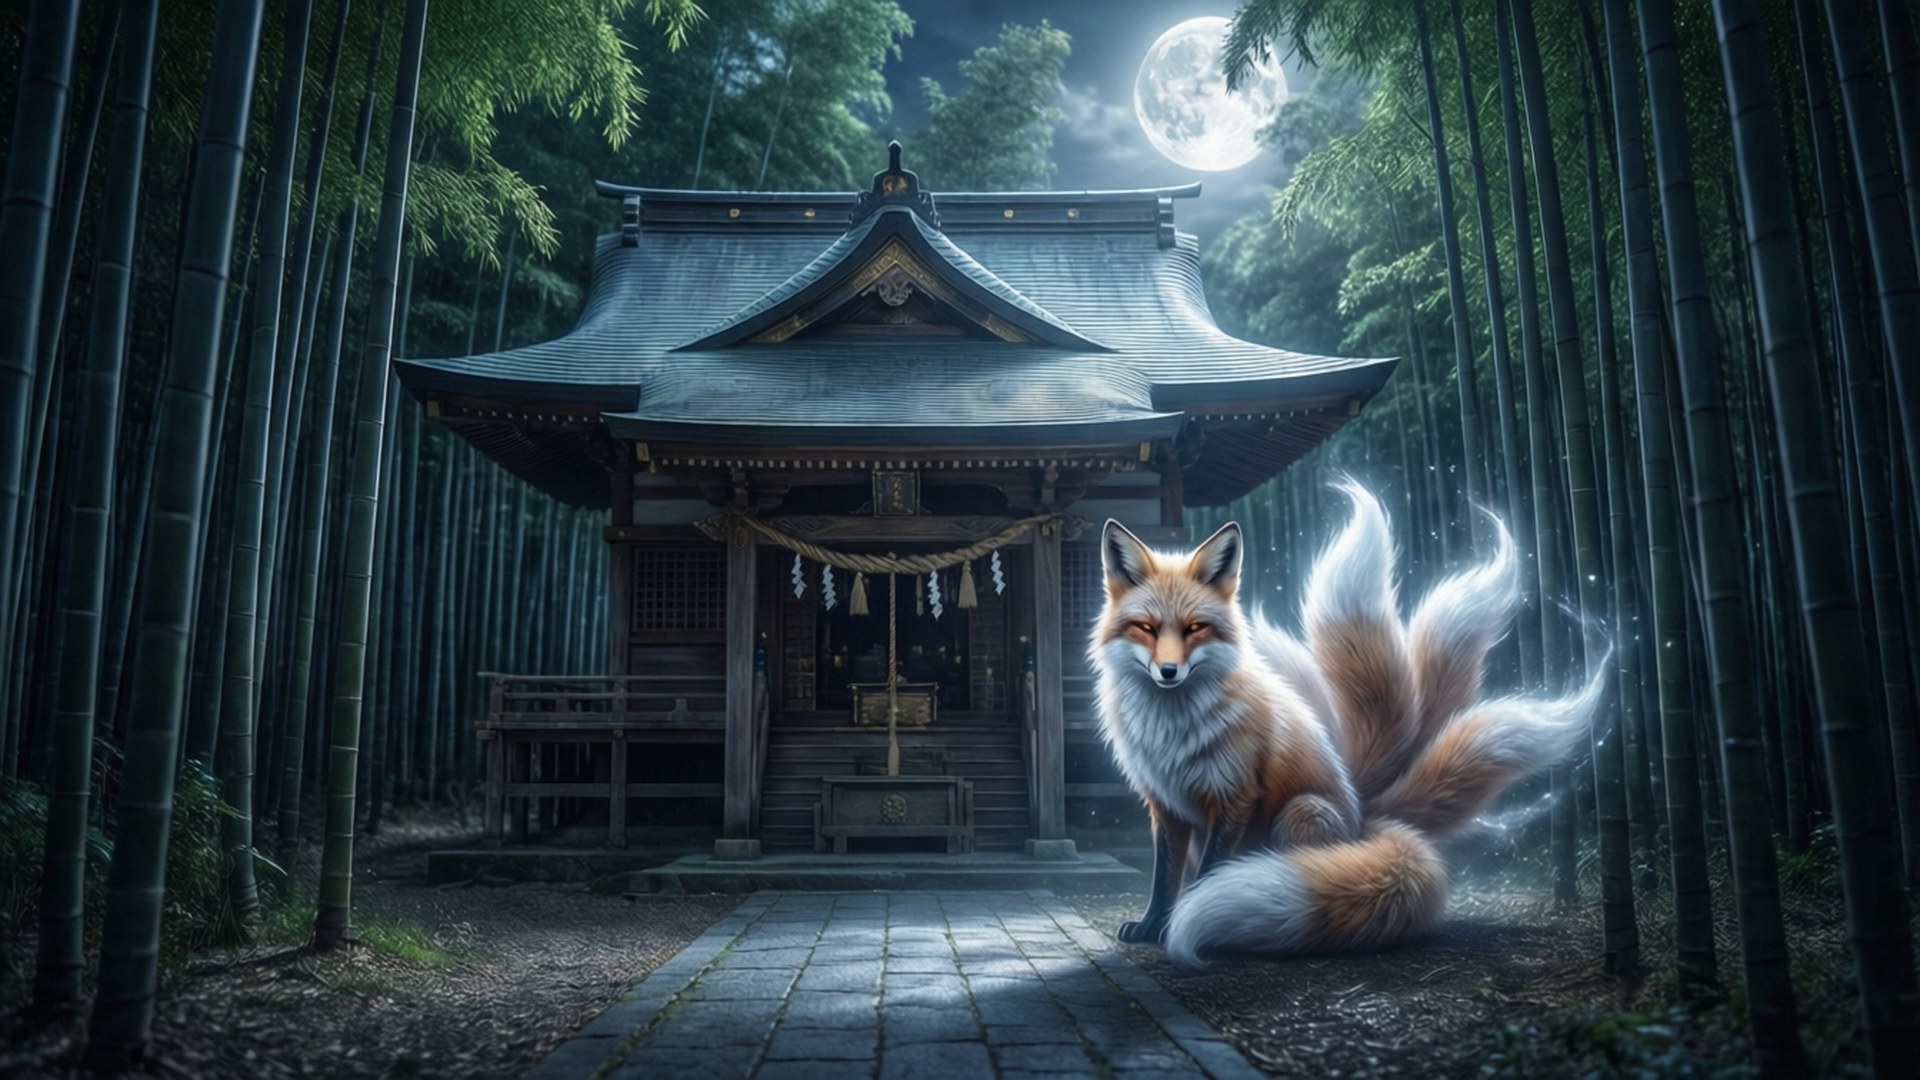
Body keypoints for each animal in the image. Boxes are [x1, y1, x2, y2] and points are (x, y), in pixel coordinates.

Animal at [1091, 481, 1602, 963]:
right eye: (1147, 628)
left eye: (1195, 628)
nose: (1168, 672)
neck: (1172, 731)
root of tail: (1365, 816)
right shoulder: (1165, 803)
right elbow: (1163, 877)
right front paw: (1152, 926)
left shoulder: (1235, 797)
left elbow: (1206, 872)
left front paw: (1184, 919)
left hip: (1303, 811)